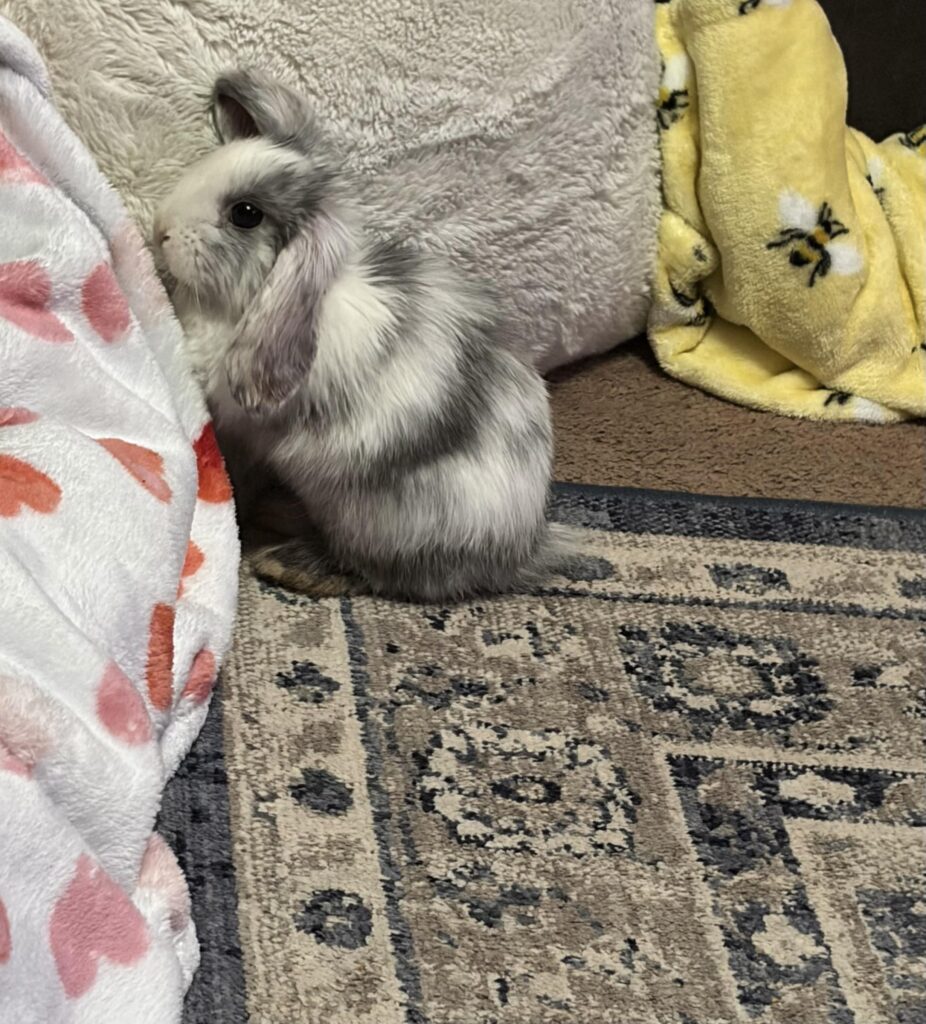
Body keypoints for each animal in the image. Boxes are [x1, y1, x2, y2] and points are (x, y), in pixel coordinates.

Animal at [154, 69, 571, 602]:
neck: (251, 298)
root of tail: (513, 554)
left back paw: (287, 561)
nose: (160, 228)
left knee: (367, 571)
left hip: (364, 517)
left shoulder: (244, 427)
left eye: (245, 213)